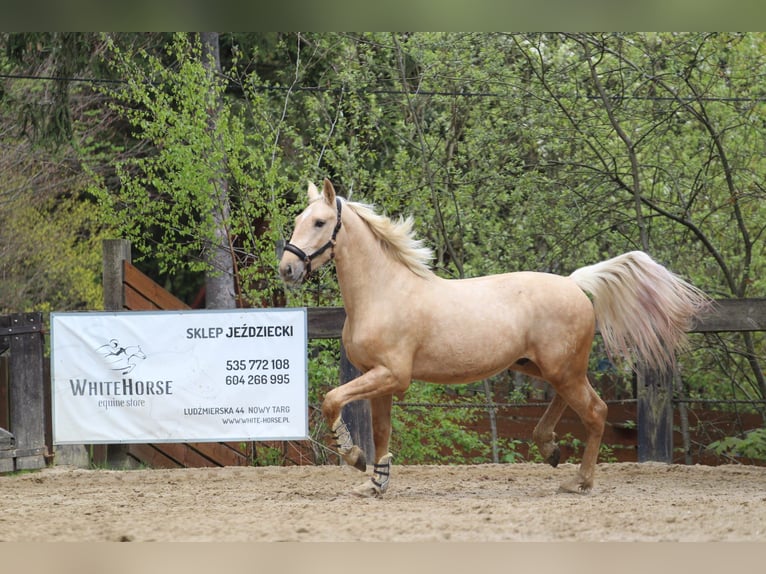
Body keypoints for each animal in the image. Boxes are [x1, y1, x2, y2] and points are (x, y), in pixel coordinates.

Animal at [280, 181, 712, 500]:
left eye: (320, 222)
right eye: (299, 218)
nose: (287, 268)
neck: (383, 292)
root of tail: (574, 282)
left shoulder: (391, 375)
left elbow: (331, 400)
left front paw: (353, 456)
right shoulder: (379, 378)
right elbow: (382, 432)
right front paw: (374, 483)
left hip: (562, 369)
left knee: (596, 411)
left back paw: (579, 481)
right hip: (544, 367)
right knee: (572, 402)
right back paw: (549, 448)